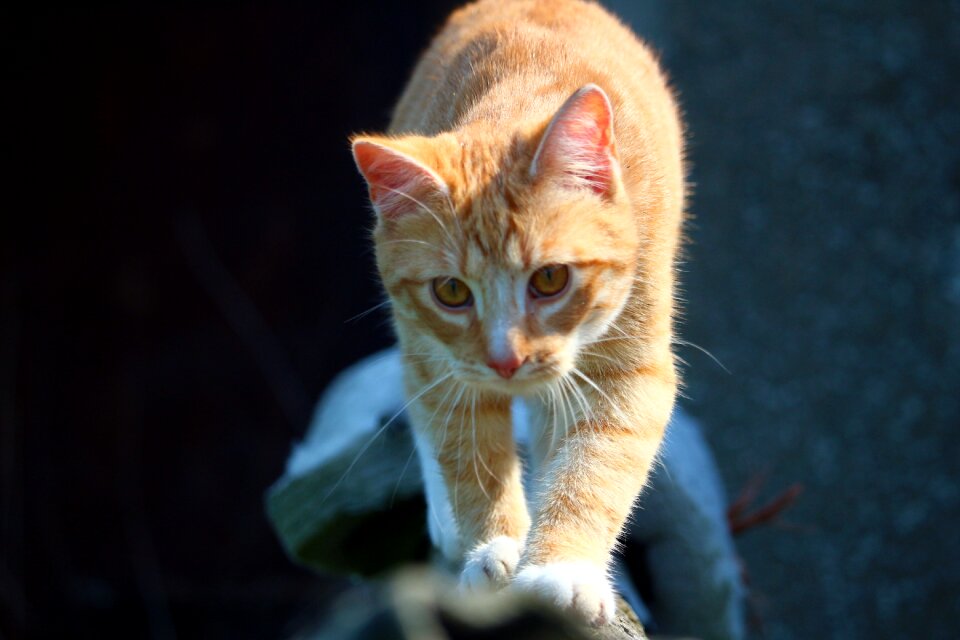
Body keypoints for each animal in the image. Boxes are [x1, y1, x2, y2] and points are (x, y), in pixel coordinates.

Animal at [350, 0, 684, 632]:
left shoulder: (630, 368)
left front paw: (561, 568)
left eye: (550, 279)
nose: (507, 361)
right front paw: (497, 546)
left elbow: (596, 465)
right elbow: (469, 452)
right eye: (451, 291)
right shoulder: (448, 363)